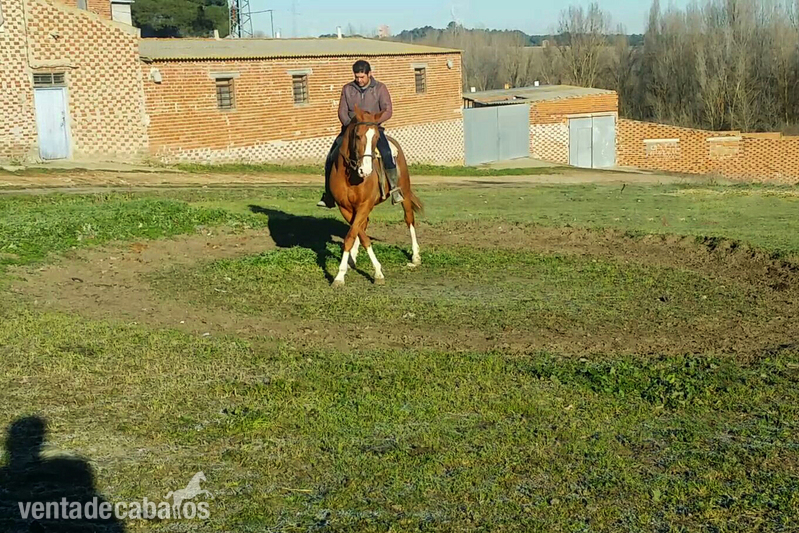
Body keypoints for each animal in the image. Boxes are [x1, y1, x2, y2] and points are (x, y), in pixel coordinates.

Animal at [328, 105, 423, 287]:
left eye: (376, 137)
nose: (366, 170)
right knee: (362, 226)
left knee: (409, 219)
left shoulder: (364, 205)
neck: (352, 175)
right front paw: (344, 270)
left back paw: (415, 257)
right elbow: (357, 233)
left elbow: (352, 234)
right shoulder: (345, 208)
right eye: (358, 135)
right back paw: (353, 258)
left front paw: (376, 272)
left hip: (405, 193)